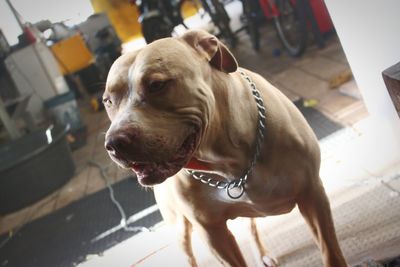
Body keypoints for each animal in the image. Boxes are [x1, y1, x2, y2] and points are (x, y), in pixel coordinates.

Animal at [103, 29, 346, 267]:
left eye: (156, 85)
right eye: (108, 101)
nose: (114, 143)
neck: (228, 160)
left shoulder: (312, 195)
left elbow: (330, 252)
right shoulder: (212, 233)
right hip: (180, 228)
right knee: (189, 254)